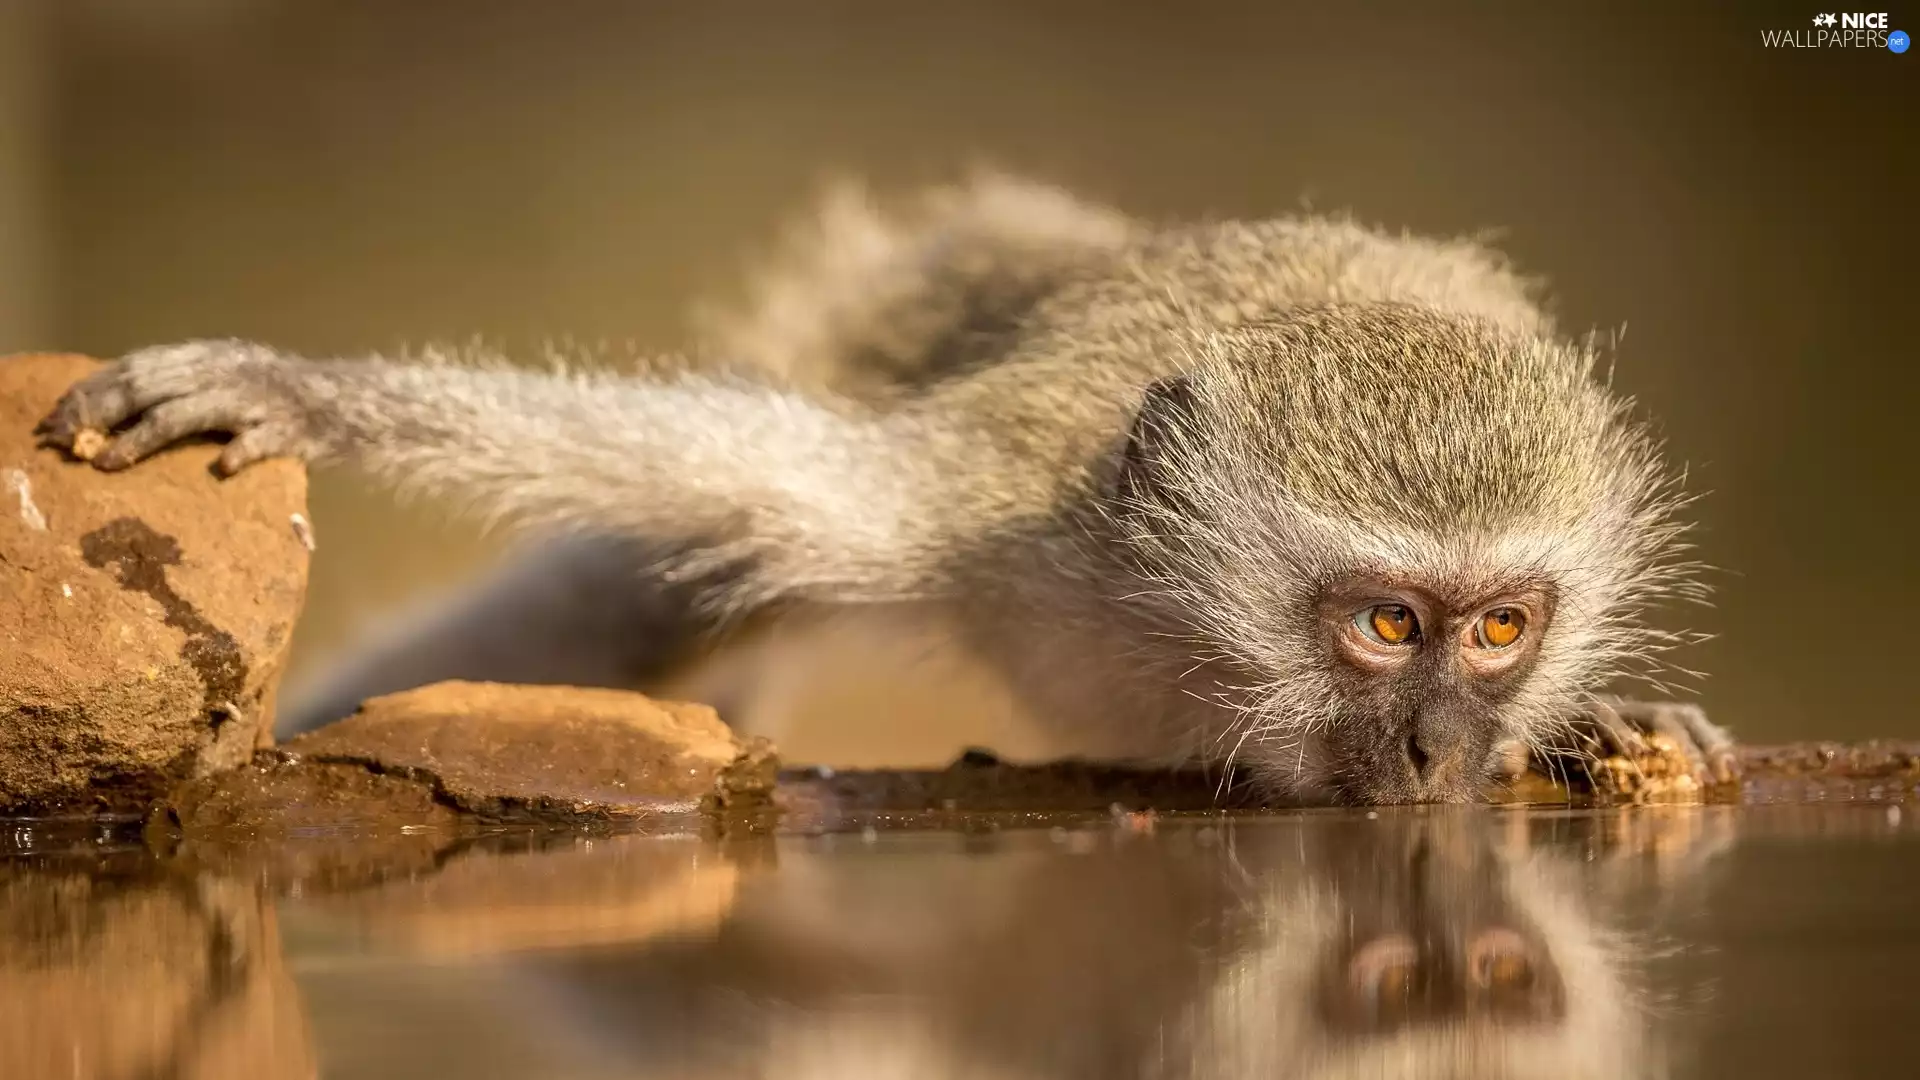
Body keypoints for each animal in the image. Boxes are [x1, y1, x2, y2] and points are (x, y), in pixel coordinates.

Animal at [36, 173, 1737, 805]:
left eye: (1501, 628)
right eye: (1389, 626)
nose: (1446, 747)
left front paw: (1604, 721)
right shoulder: (985, 508)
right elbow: (673, 467)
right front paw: (303, 388)